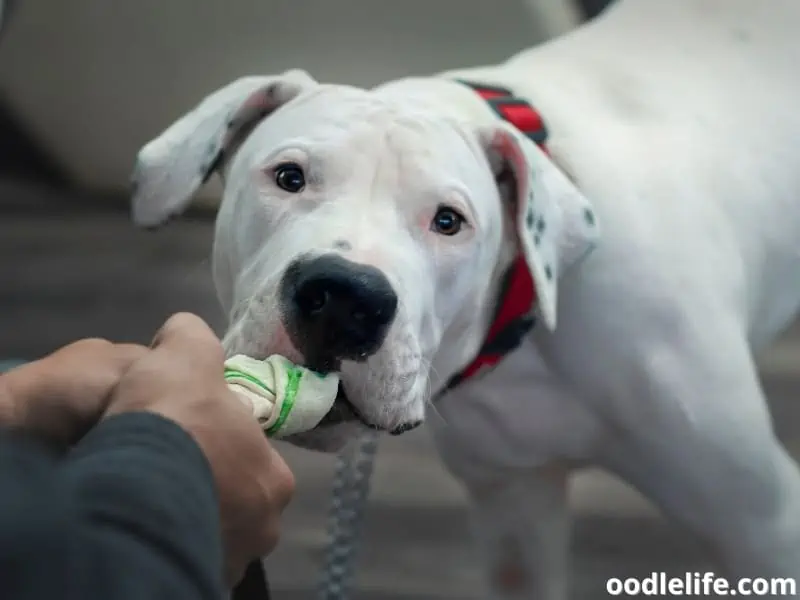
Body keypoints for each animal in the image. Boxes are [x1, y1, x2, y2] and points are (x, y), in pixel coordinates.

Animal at [128, 1, 800, 596]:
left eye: (448, 221)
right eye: (288, 177)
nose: (345, 295)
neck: (528, 315)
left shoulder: (761, 524)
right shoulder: (514, 505)